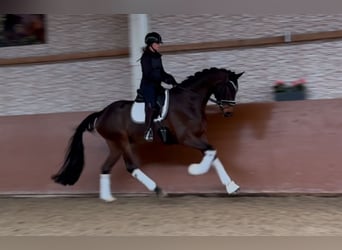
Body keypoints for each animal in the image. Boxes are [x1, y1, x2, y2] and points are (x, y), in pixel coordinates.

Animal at [51, 67, 243, 201]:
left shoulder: (200, 136)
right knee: (130, 166)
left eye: (236, 89)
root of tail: (102, 113)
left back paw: (107, 198)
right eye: (227, 87)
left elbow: (213, 153)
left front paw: (231, 186)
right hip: (121, 141)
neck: (189, 101)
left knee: (106, 167)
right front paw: (195, 170)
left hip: (115, 145)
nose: (229, 112)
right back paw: (158, 190)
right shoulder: (187, 138)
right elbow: (211, 152)